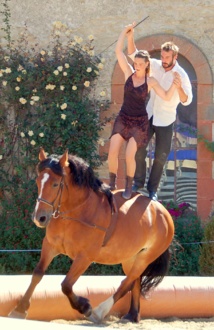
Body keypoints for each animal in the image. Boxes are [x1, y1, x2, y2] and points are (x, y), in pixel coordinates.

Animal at [9, 148, 175, 324]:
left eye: (55, 184)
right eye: (38, 182)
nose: (39, 218)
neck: (74, 213)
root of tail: (163, 212)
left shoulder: (85, 257)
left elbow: (66, 285)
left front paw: (85, 307)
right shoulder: (50, 246)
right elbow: (37, 274)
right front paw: (20, 309)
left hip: (145, 258)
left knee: (127, 282)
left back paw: (100, 311)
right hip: (130, 258)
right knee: (134, 281)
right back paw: (132, 315)